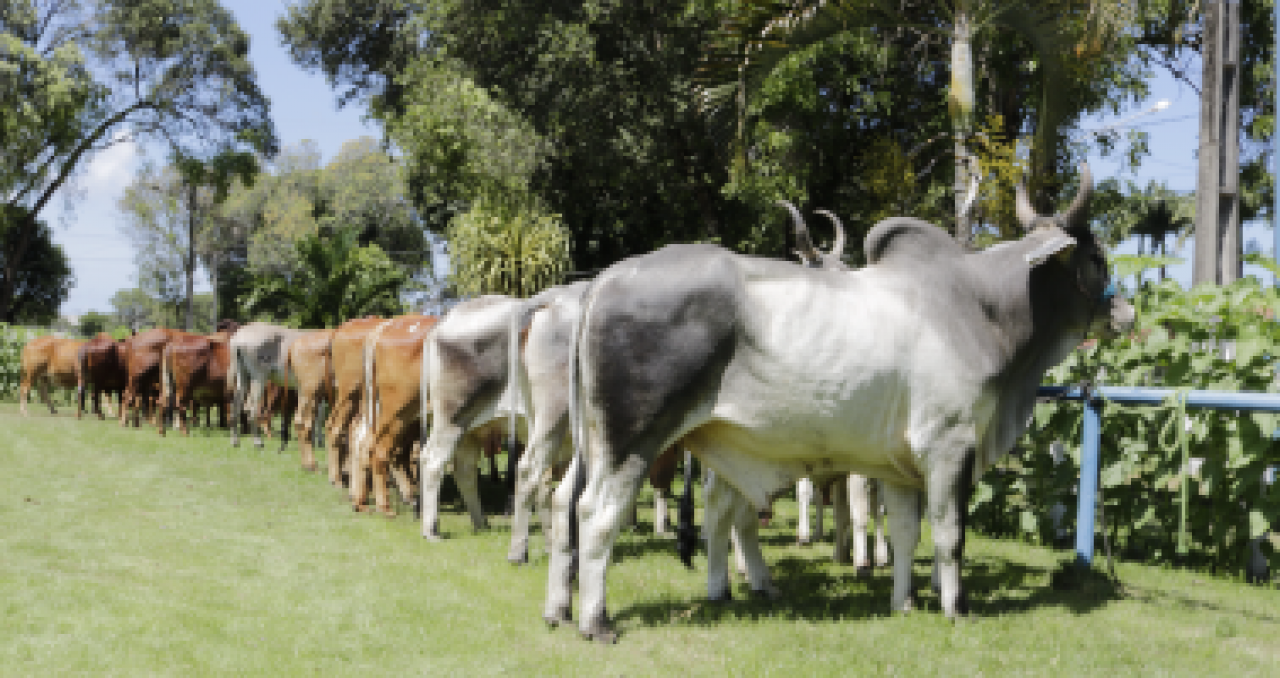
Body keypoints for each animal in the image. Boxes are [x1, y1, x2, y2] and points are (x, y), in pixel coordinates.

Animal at [348, 313, 437, 514]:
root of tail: (385, 326)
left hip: (375, 407)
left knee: (360, 438)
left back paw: (359, 500)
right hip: (396, 412)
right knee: (380, 449)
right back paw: (385, 505)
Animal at [545, 163, 1136, 639]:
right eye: (1097, 258)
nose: (1127, 312)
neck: (980, 306)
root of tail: (607, 278)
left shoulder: (901, 466)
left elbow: (905, 534)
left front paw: (902, 603)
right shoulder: (950, 444)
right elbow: (950, 535)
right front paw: (956, 607)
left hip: (600, 443)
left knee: (571, 503)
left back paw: (561, 608)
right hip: (632, 440)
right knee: (596, 512)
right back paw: (596, 622)